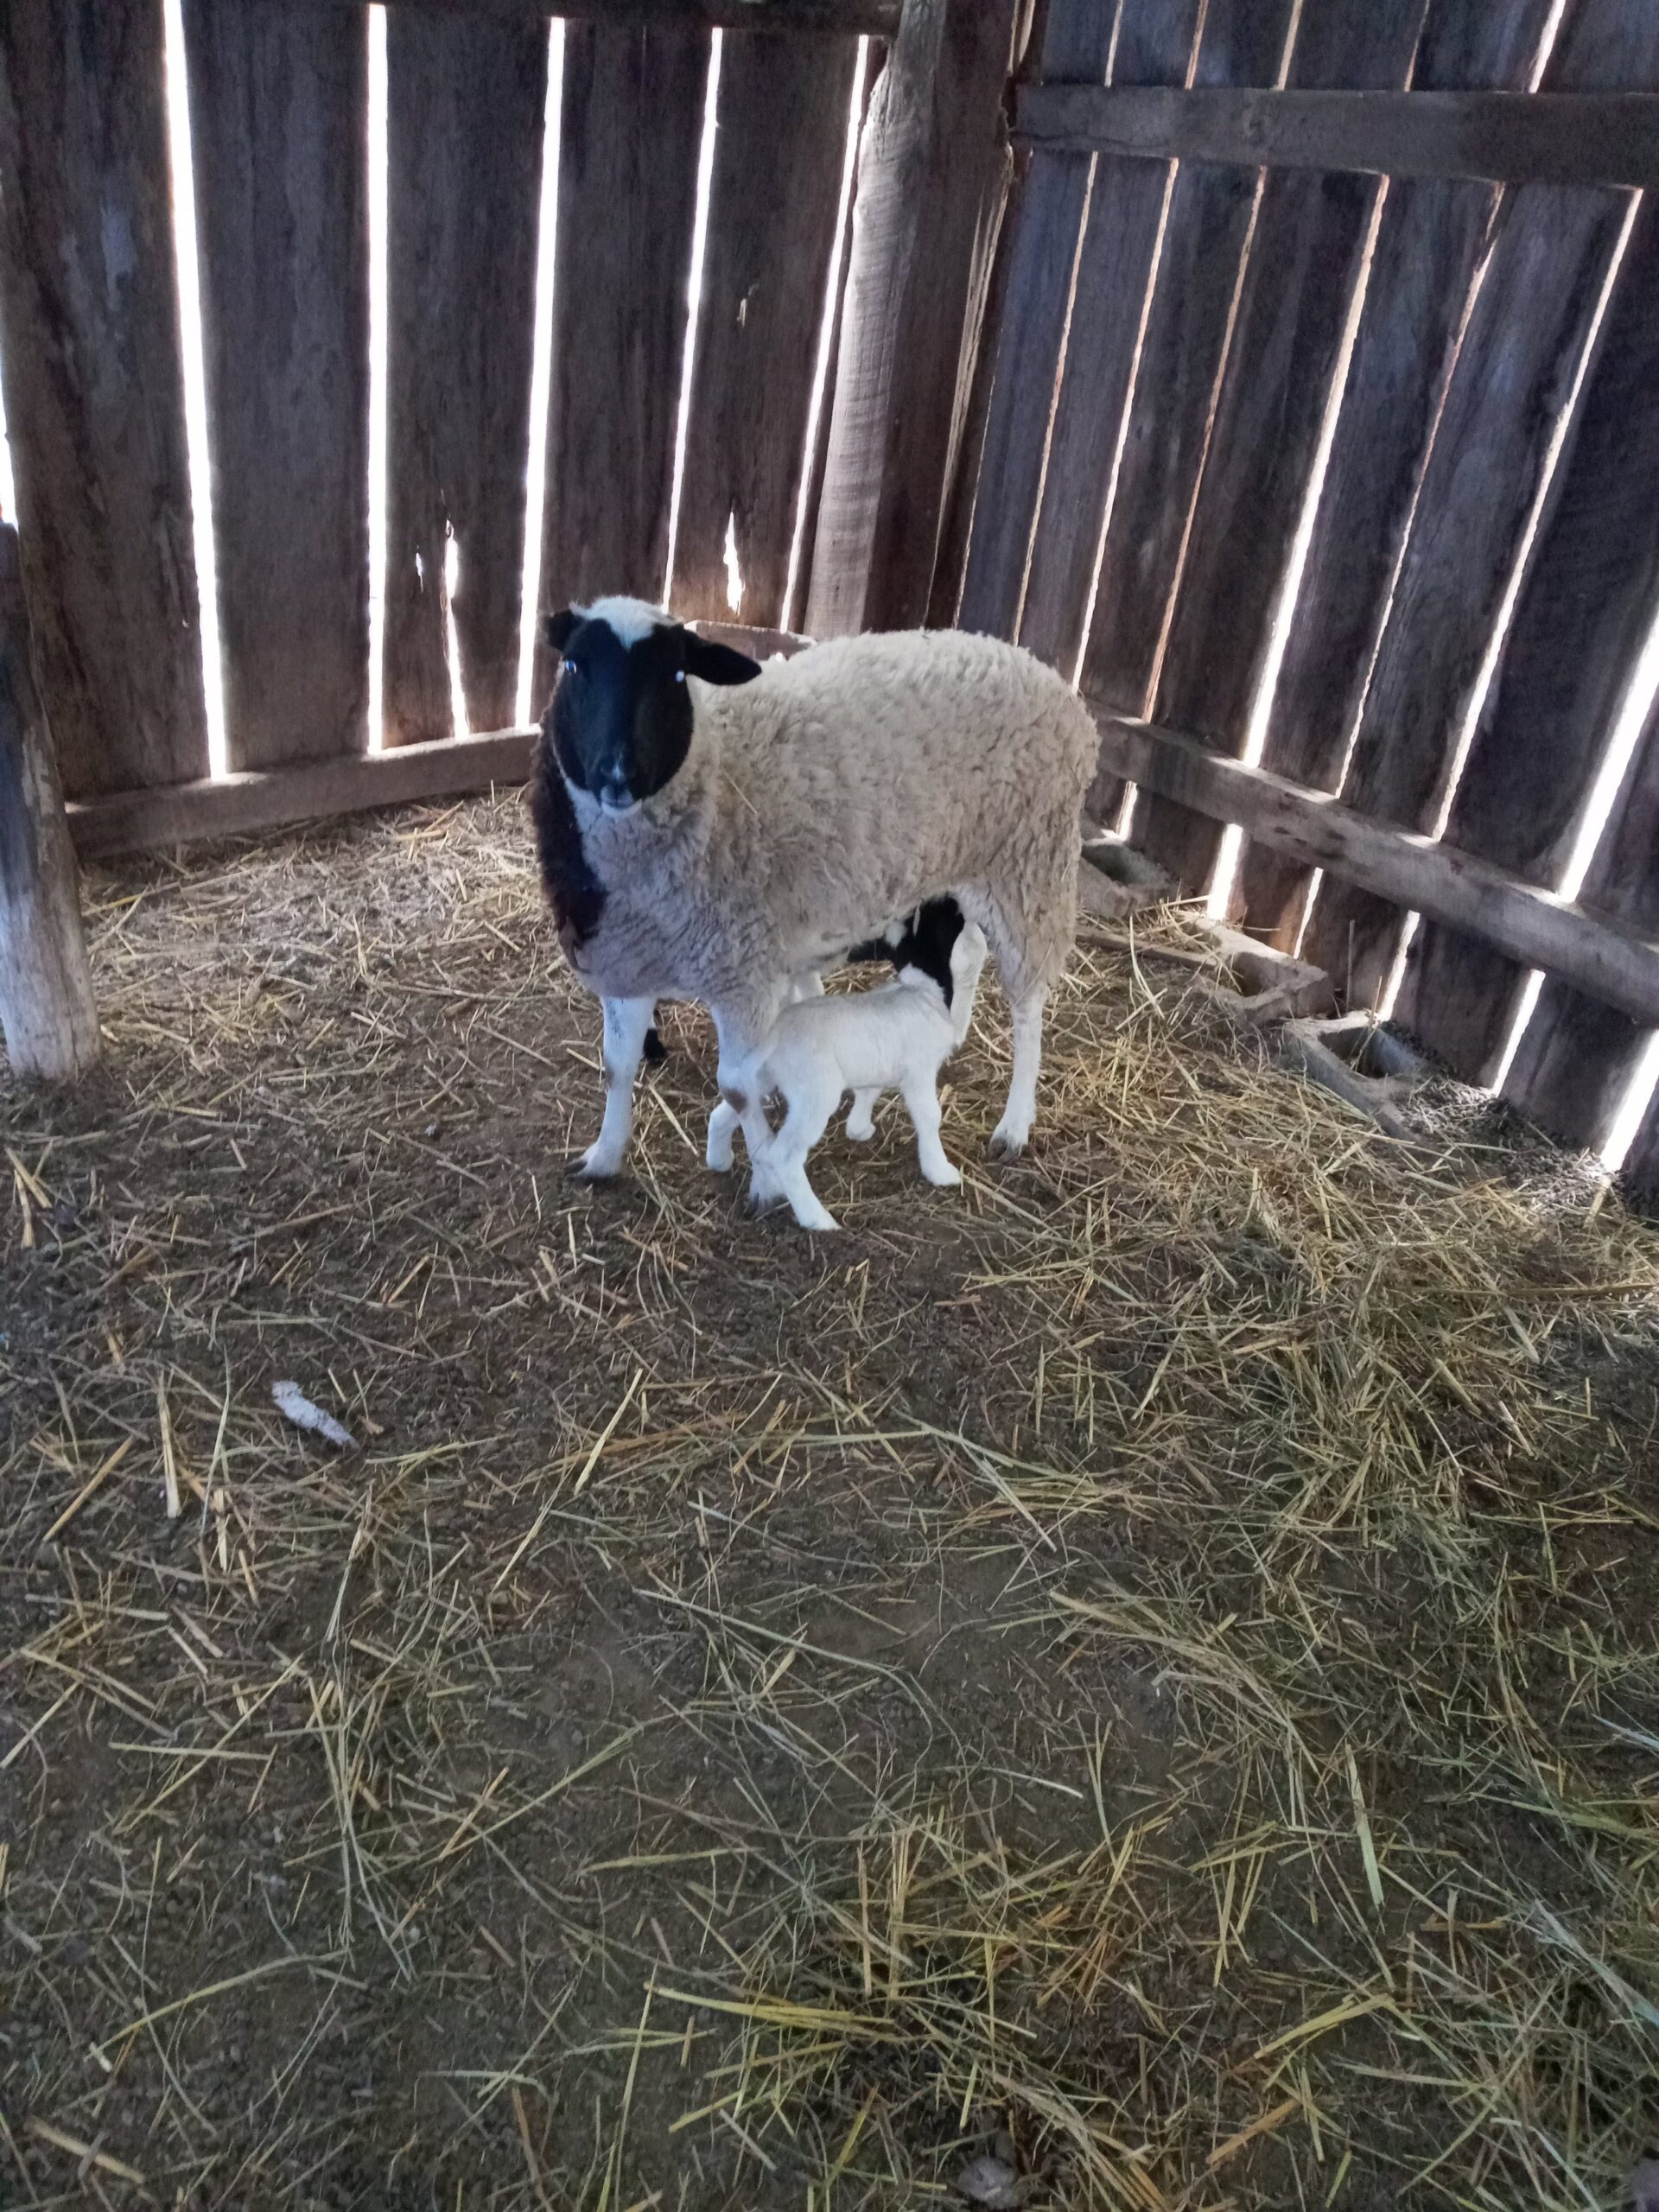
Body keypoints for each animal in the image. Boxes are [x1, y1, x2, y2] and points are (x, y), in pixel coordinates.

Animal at [530, 595, 1095, 1183]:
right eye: (574, 666)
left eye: (676, 675)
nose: (618, 774)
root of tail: (1037, 667)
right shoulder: (626, 959)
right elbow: (617, 1068)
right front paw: (603, 1156)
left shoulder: (741, 972)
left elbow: (736, 1089)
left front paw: (763, 1170)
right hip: (963, 869)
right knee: (969, 952)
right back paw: (953, 1031)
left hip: (1030, 867)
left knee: (1028, 1002)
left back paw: (1014, 1124)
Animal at [741, 898, 988, 1233]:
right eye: (946, 919)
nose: (951, 900)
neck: (921, 990)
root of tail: (773, 1038)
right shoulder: (920, 1072)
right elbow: (930, 1116)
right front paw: (940, 1170)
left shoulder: (877, 1064)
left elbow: (868, 1093)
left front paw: (859, 1129)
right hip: (815, 1095)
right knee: (785, 1154)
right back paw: (817, 1219)